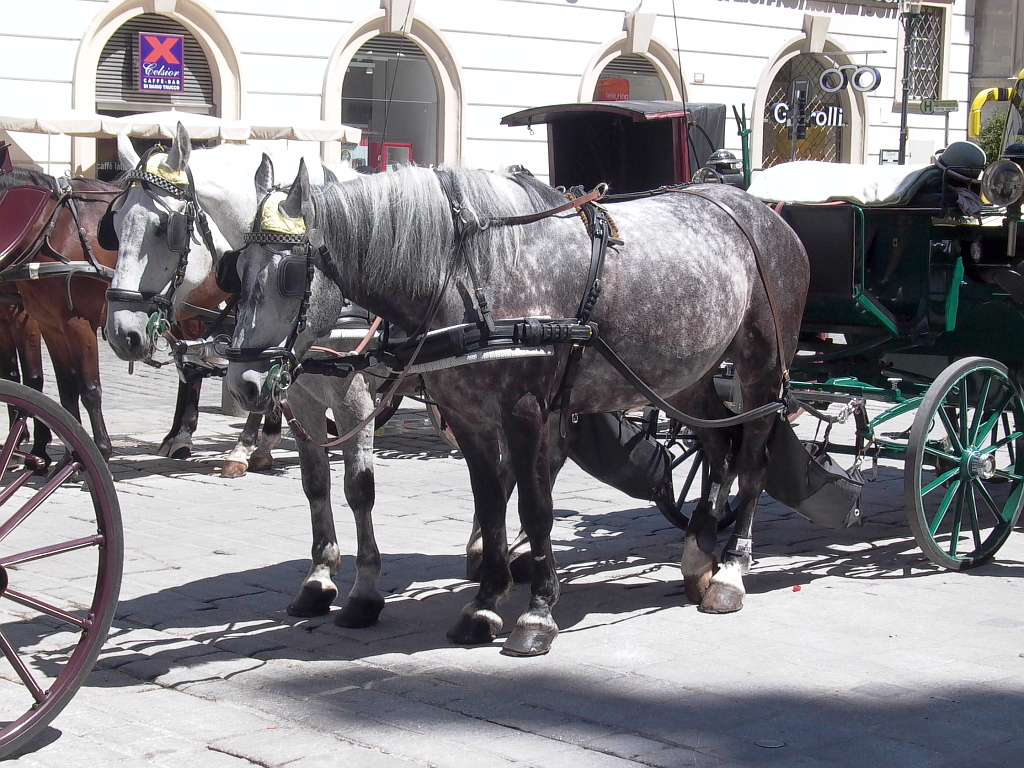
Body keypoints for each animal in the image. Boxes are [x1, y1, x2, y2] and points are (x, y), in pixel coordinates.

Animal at [105, 128, 386, 622]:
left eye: (164, 229)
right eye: (115, 224)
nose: (123, 332)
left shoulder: (354, 398)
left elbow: (358, 487)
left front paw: (365, 589)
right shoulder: (300, 394)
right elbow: (315, 482)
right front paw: (319, 579)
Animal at [226, 161, 809, 656]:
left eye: (290, 275)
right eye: (236, 268)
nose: (244, 383)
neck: (468, 276)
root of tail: (760, 210)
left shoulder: (522, 409)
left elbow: (534, 506)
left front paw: (536, 614)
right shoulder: (467, 415)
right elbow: (487, 502)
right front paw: (484, 604)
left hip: (760, 367)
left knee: (752, 460)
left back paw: (730, 570)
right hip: (684, 373)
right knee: (715, 443)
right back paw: (698, 553)